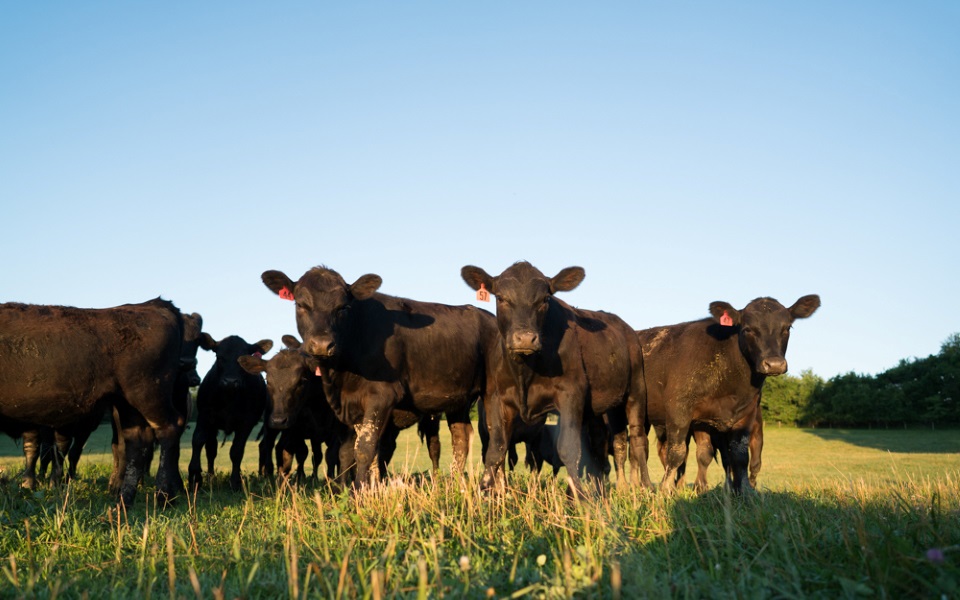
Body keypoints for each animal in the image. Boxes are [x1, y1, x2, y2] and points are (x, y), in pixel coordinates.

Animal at [0, 300, 187, 506]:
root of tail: (153, 305)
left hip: (148, 395)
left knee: (168, 429)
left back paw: (163, 497)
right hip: (126, 404)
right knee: (136, 442)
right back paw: (124, 499)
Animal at [188, 336, 272, 490]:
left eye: (243, 360)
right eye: (219, 357)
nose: (230, 382)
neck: (229, 397)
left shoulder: (246, 423)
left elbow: (237, 451)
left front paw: (235, 481)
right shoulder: (205, 416)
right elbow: (198, 441)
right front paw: (195, 477)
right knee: (211, 449)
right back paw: (210, 477)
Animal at [260, 268, 496, 488]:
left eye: (343, 307)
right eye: (300, 305)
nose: (321, 344)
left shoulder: (381, 397)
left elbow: (365, 449)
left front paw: (358, 492)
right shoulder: (354, 406)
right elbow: (363, 452)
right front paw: (370, 489)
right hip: (457, 400)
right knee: (461, 437)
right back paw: (455, 485)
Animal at [464, 260, 648, 494]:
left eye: (545, 299)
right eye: (501, 298)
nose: (525, 338)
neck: (525, 372)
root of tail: (627, 329)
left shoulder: (570, 394)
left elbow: (568, 448)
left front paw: (579, 498)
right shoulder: (498, 398)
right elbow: (496, 449)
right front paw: (484, 493)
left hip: (636, 390)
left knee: (638, 439)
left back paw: (646, 486)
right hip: (602, 407)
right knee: (605, 442)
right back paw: (605, 488)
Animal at [640, 292, 820, 494]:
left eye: (787, 327)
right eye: (748, 329)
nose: (774, 364)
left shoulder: (744, 414)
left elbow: (738, 457)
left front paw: (745, 491)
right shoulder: (679, 410)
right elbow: (676, 454)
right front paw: (666, 490)